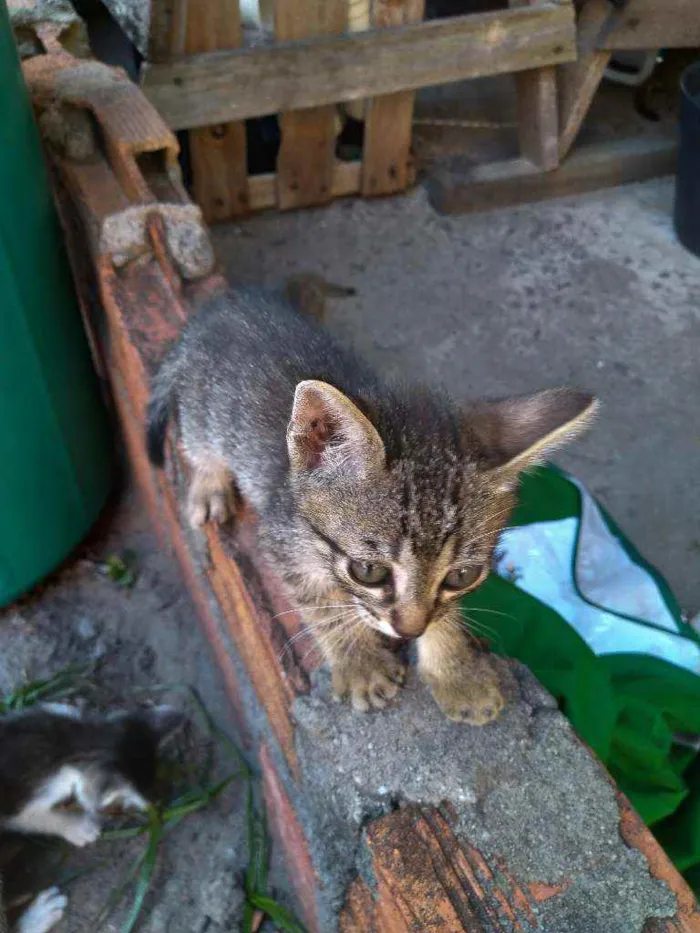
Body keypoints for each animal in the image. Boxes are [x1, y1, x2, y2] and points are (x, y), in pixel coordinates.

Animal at [148, 288, 596, 724]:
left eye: (461, 576)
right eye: (368, 571)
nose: (410, 632)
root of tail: (218, 307)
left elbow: (444, 614)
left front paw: (458, 672)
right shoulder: (282, 541)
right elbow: (324, 606)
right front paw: (361, 665)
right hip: (204, 414)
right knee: (195, 441)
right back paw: (208, 484)